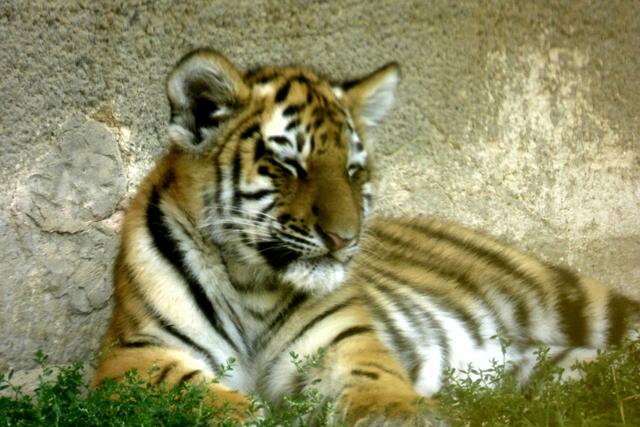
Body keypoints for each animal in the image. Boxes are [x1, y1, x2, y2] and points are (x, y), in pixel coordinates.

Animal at [93, 48, 640, 426]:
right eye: (289, 165)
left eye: (353, 172)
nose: (344, 238)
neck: (253, 282)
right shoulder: (134, 353)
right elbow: (193, 390)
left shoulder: (344, 339)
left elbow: (374, 381)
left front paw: (408, 414)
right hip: (557, 369)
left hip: (570, 295)